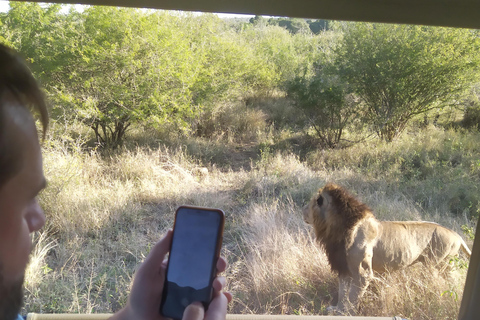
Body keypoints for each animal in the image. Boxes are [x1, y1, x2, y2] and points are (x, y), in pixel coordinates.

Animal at [302, 184, 470, 314]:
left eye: (310, 203)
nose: (302, 210)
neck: (335, 229)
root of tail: (457, 235)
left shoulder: (362, 273)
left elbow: (353, 295)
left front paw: (347, 313)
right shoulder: (343, 265)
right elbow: (342, 291)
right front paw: (338, 309)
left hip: (436, 264)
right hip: (446, 265)